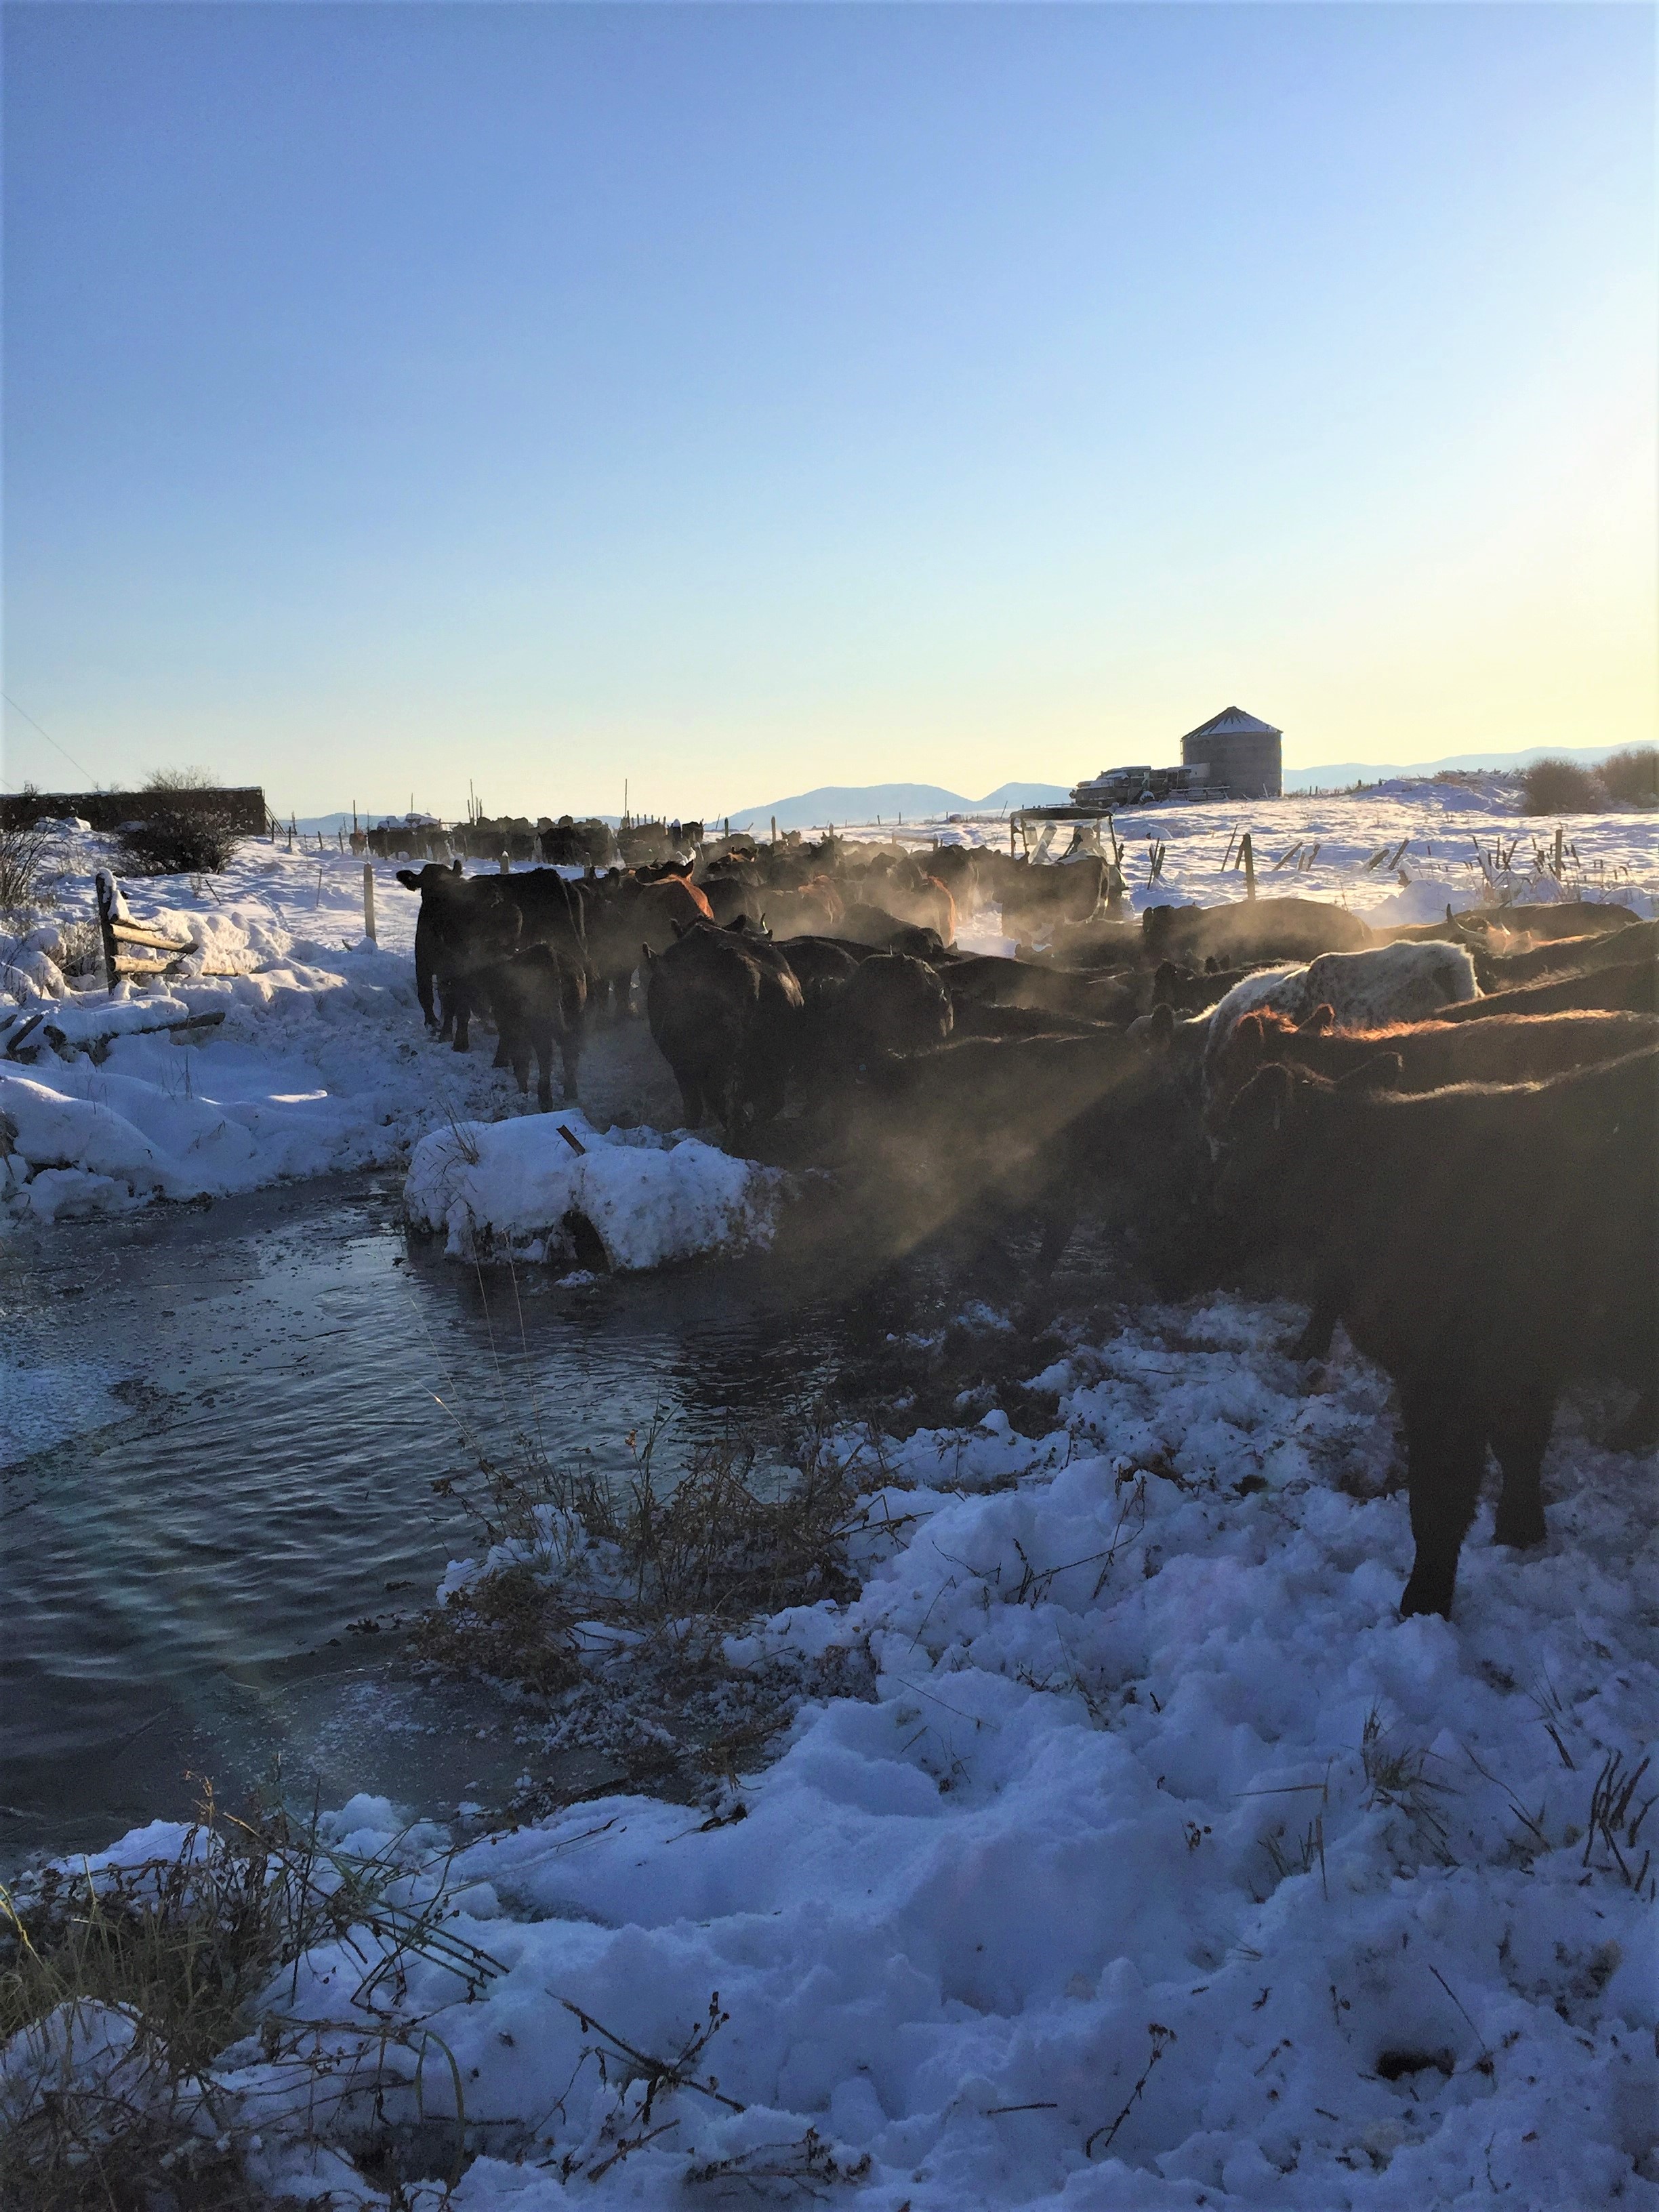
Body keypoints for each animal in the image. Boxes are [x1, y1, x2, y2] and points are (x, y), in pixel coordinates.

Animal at [1216, 1045, 1659, 1617]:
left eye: (1231, 1140)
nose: (1212, 1203)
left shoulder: (1447, 1379)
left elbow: (1438, 1497)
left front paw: (1422, 1601)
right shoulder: (1522, 1368)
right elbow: (1520, 1447)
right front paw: (1519, 1531)